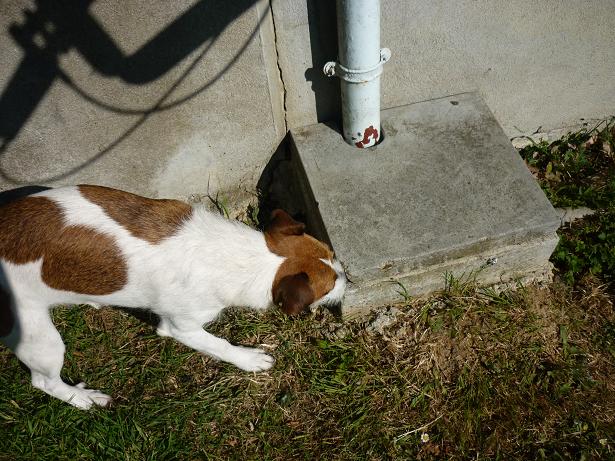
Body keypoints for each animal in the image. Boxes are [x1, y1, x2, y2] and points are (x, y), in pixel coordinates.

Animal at [0, 183, 346, 406]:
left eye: (333, 255)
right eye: (330, 284)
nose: (348, 278)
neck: (239, 255)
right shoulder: (182, 327)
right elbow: (219, 345)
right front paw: (247, 358)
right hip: (38, 338)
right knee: (44, 381)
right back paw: (82, 398)